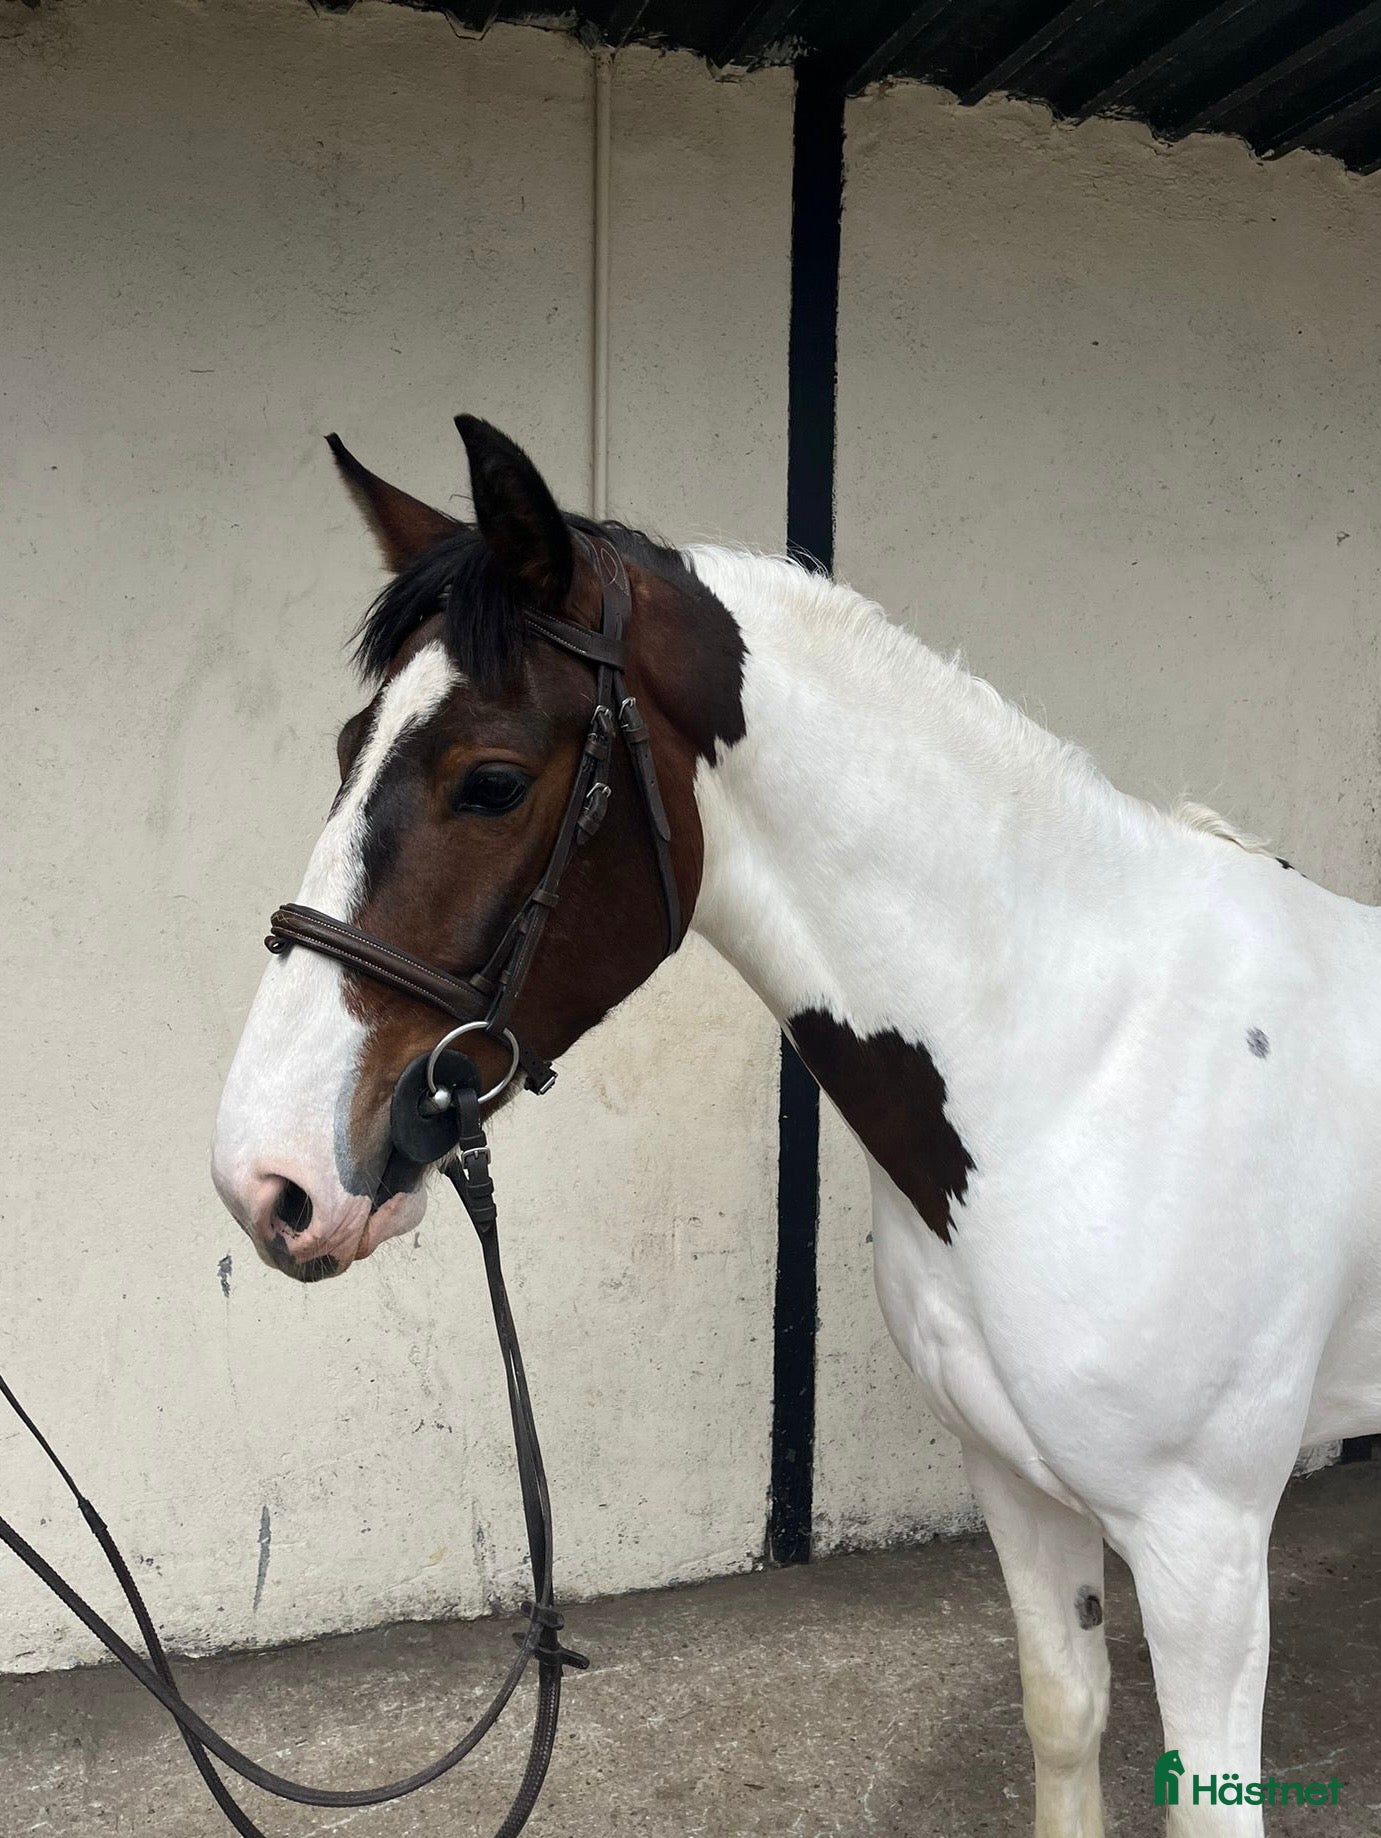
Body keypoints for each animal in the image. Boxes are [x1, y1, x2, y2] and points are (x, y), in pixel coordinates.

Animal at [212, 416, 1381, 1836]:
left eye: (488, 782)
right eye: (345, 748)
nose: (266, 1175)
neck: (1083, 1062)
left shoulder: (1201, 1537)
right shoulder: (1018, 1481)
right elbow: (1065, 1714)